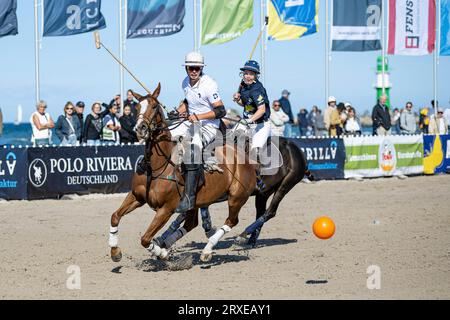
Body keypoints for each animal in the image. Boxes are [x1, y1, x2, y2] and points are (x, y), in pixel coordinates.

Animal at [108, 84, 256, 262]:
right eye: (137, 107)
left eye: (155, 106)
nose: (140, 128)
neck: (158, 166)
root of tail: (245, 156)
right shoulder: (136, 196)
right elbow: (115, 216)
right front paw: (115, 252)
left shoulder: (166, 208)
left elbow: (145, 239)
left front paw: (162, 253)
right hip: (196, 201)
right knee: (191, 223)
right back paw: (167, 243)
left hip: (236, 197)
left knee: (231, 221)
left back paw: (206, 250)